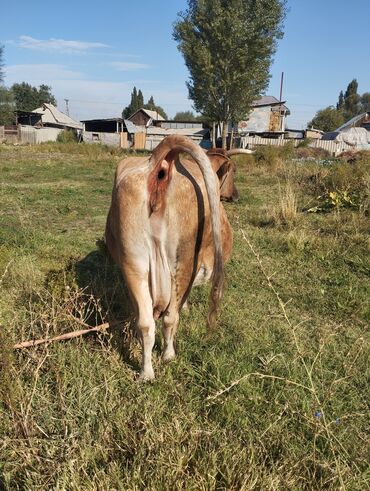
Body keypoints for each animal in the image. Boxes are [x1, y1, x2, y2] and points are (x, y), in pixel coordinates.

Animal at [105, 135, 231, 380]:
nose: (235, 196)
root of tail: (161, 160)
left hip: (134, 261)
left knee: (146, 323)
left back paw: (146, 373)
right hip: (184, 260)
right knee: (171, 317)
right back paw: (168, 356)